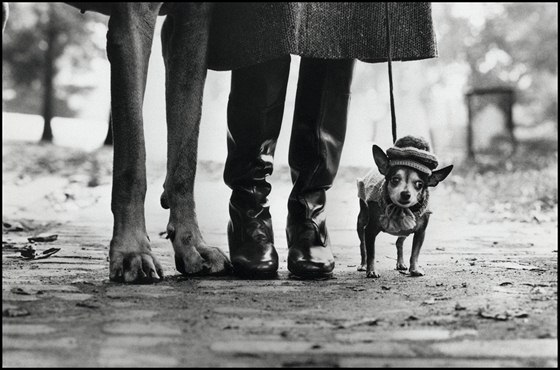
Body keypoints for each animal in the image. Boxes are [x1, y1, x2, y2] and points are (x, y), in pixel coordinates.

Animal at [356, 137, 452, 278]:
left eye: (419, 184)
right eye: (395, 180)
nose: (406, 194)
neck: (400, 209)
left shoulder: (420, 233)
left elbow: (415, 253)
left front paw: (415, 269)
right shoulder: (370, 230)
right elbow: (371, 253)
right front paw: (372, 270)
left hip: (404, 231)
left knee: (399, 242)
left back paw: (400, 263)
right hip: (361, 221)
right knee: (362, 245)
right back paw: (363, 264)